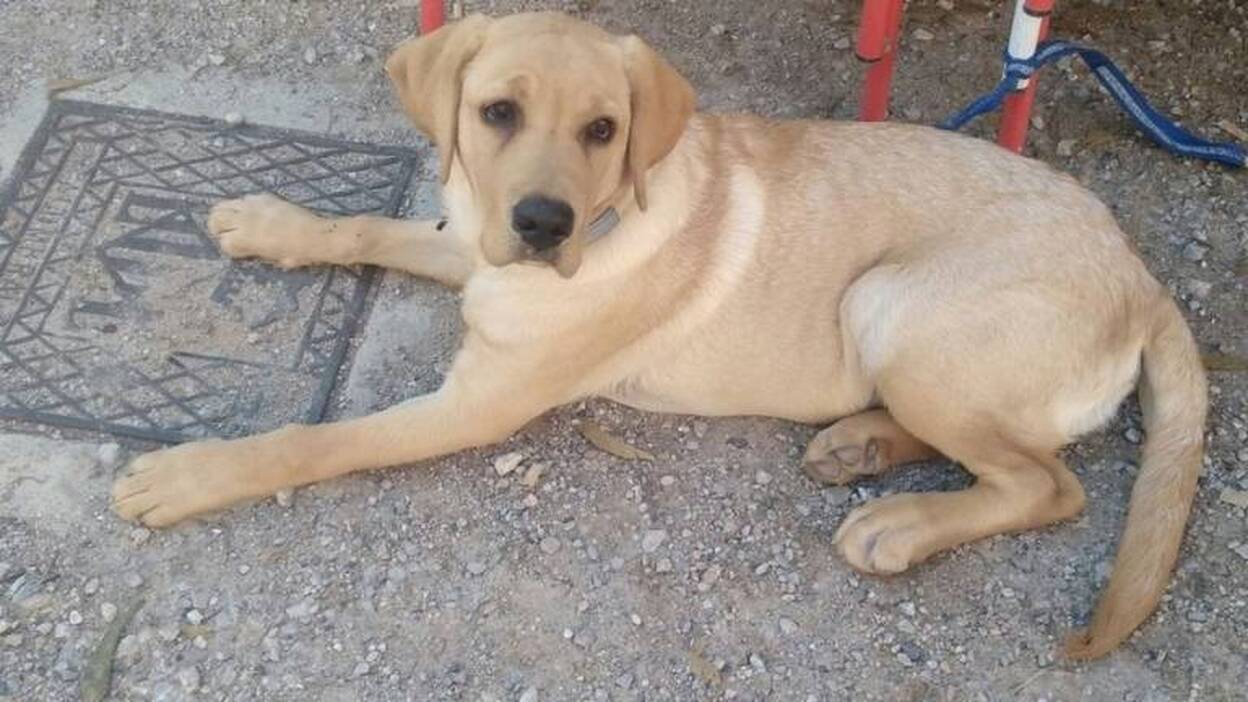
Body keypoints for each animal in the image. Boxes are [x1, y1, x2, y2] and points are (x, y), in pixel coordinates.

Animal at [112, 10, 1203, 659]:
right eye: (496, 112)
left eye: (603, 130)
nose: (543, 223)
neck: (600, 227)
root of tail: (1142, 277)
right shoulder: (478, 250)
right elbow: (373, 229)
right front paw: (273, 224)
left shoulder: (476, 404)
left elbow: (314, 439)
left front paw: (189, 474)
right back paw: (860, 446)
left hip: (892, 303)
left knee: (1046, 483)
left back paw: (898, 523)